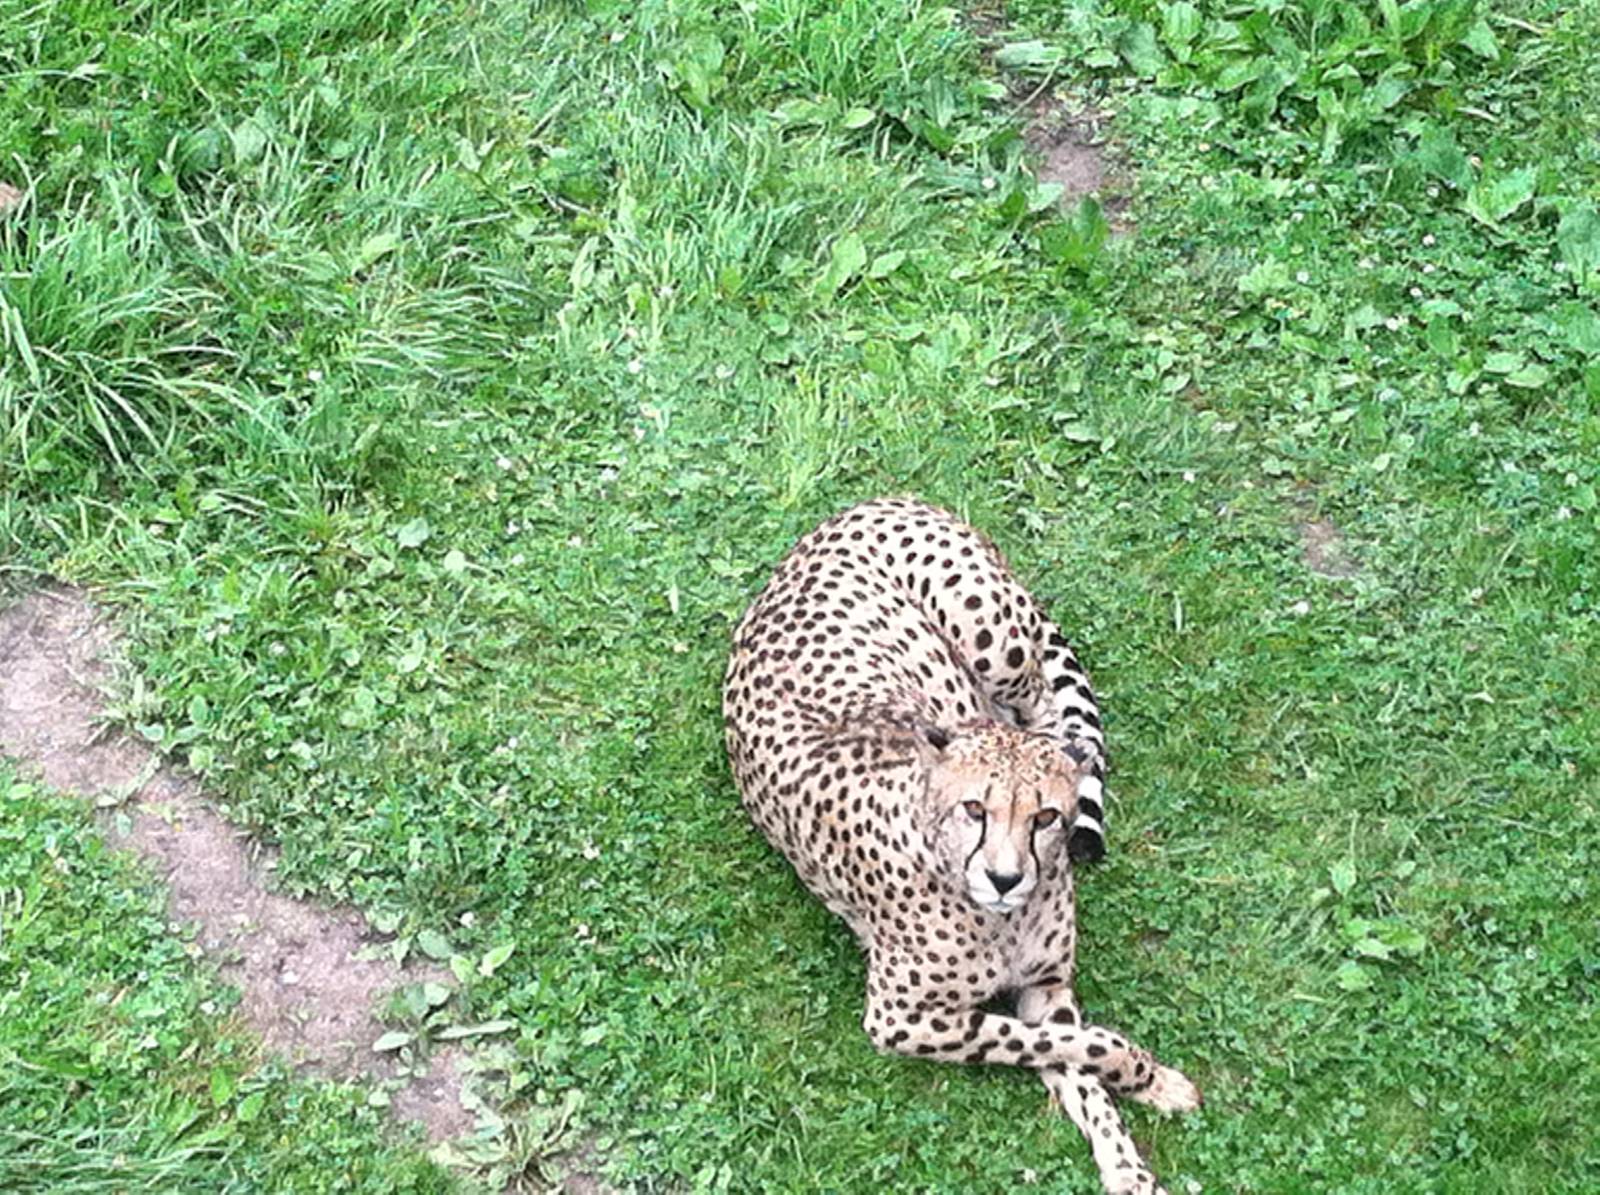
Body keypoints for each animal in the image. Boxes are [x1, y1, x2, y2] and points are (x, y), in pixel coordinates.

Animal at [722, 497, 1201, 1195]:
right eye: (975, 809)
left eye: (1045, 817)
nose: (1005, 879)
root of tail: (868, 502)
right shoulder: (900, 1018)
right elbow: (1059, 1044)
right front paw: (1147, 1075)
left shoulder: (1046, 985)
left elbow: (1077, 1066)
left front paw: (1129, 1157)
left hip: (995, 641)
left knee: (1046, 711)